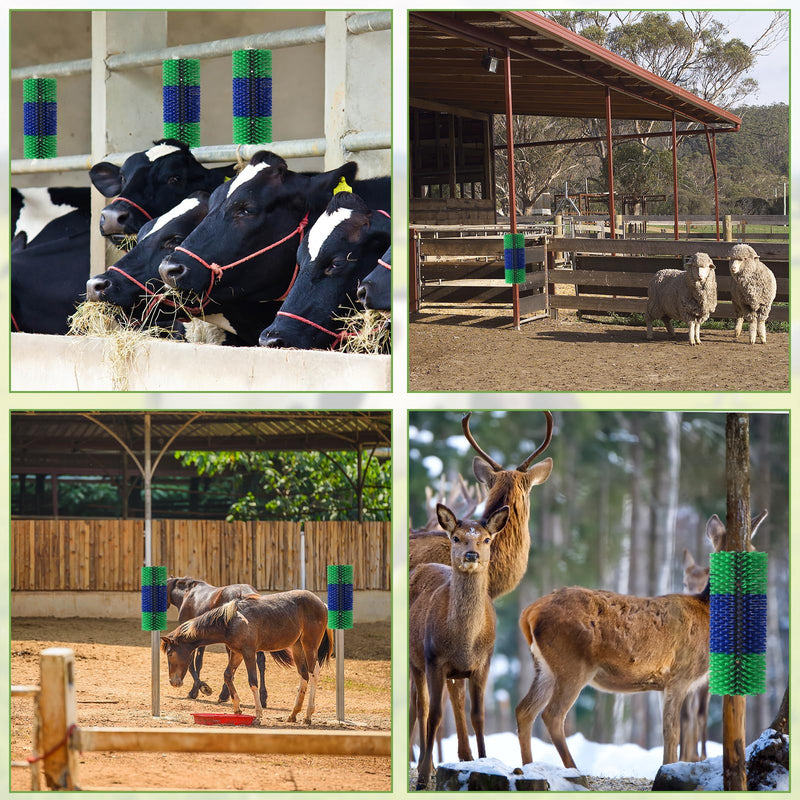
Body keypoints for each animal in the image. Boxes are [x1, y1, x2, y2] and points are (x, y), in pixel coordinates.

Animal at [161, 589, 334, 725]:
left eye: (170, 653)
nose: (173, 682)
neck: (230, 621)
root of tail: (321, 603)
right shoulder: (237, 653)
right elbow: (227, 675)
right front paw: (237, 708)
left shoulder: (248, 652)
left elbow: (253, 681)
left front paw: (258, 715)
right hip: (297, 647)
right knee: (304, 675)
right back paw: (293, 714)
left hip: (309, 645)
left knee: (313, 673)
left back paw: (308, 715)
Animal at [166, 576, 269, 705]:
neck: (187, 593)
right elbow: (197, 663)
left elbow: (193, 663)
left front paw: (198, 689)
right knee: (260, 663)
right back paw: (262, 697)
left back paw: (224, 694)